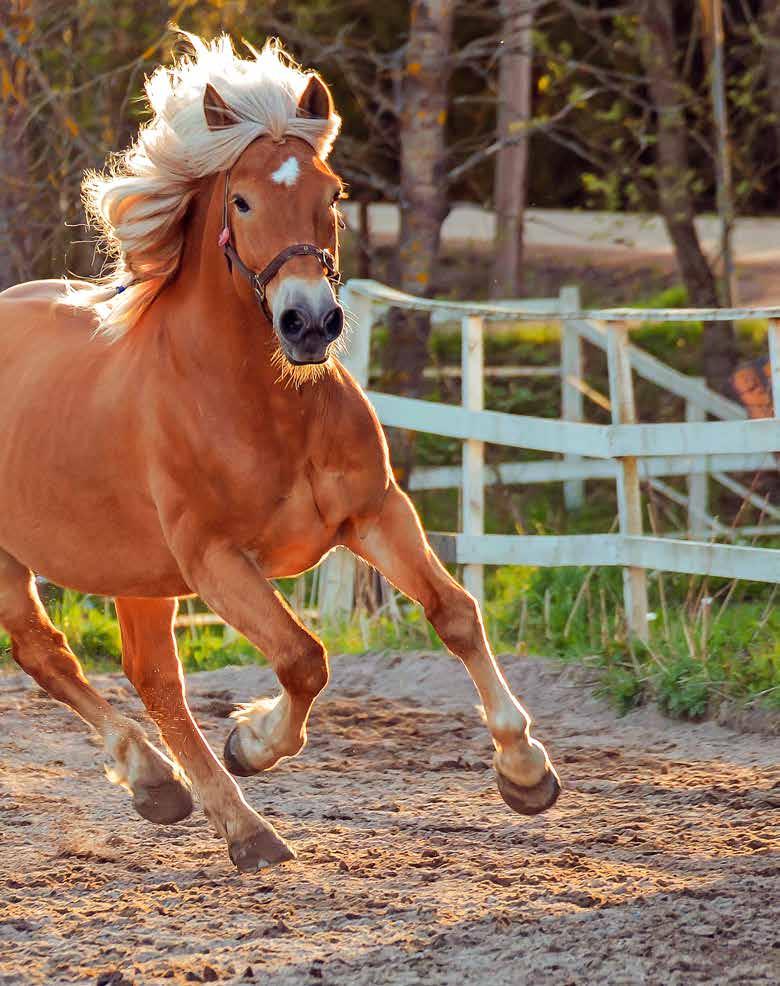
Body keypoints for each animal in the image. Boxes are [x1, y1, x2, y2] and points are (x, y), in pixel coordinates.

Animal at [0, 36, 560, 868]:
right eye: (241, 201)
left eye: (332, 194)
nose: (310, 323)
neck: (262, 404)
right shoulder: (216, 561)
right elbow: (304, 658)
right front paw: (254, 742)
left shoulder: (375, 513)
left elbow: (455, 614)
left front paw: (525, 771)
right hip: (27, 564)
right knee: (54, 656)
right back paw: (199, 801)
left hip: (136, 575)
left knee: (145, 679)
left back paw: (193, 803)